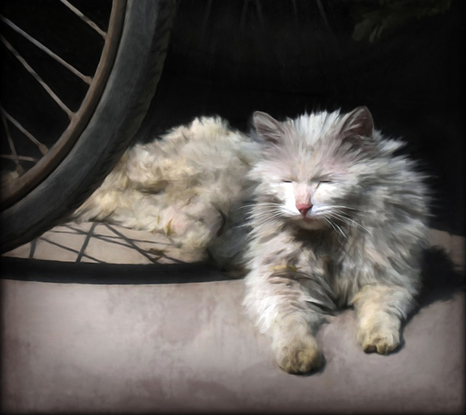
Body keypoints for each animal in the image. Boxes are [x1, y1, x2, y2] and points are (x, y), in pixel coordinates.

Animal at [73, 106, 430, 374]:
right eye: (287, 182)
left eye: (325, 182)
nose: (303, 207)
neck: (329, 241)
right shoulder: (279, 281)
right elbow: (290, 323)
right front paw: (299, 357)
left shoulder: (389, 279)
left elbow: (381, 313)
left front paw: (378, 341)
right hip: (152, 172)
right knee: (119, 172)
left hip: (149, 208)